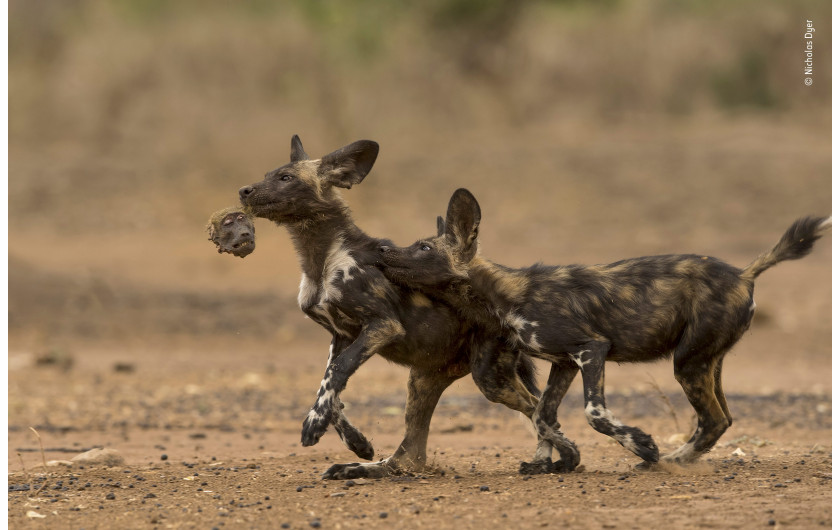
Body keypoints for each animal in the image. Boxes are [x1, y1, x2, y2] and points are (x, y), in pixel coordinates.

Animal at [236, 137, 564, 478]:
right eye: (267, 174)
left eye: (285, 178)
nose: (243, 190)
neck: (321, 259)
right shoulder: (341, 335)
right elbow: (329, 386)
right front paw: (355, 440)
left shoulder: (382, 326)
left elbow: (338, 372)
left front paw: (313, 425)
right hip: (424, 379)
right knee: (410, 456)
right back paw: (357, 468)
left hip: (489, 379)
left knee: (537, 408)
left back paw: (555, 459)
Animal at [380, 188, 832, 464]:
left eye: (423, 248)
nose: (382, 249)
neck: (505, 296)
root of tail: (744, 273)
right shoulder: (563, 362)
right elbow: (542, 415)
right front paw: (556, 458)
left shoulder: (590, 350)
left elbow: (594, 412)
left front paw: (641, 444)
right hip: (706, 361)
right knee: (722, 418)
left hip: (686, 363)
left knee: (714, 419)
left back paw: (666, 461)